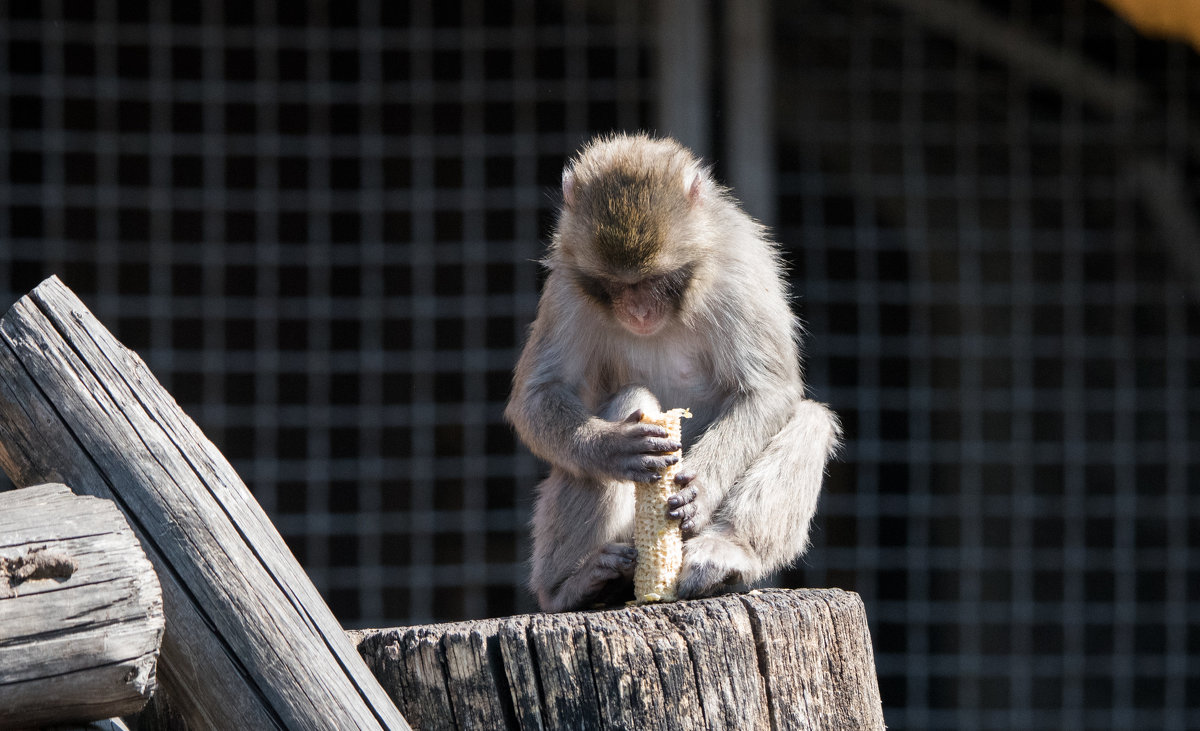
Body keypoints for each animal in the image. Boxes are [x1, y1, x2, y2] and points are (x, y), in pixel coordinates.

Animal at [506, 130, 844, 609]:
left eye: (654, 281)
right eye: (618, 285)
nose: (639, 311)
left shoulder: (736, 269)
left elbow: (767, 389)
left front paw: (701, 488)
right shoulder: (568, 285)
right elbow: (538, 395)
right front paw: (609, 448)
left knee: (810, 420)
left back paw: (727, 551)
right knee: (631, 400)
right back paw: (570, 585)